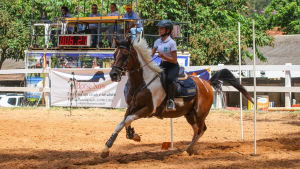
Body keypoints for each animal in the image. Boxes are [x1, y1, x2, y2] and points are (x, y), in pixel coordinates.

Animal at [101, 37, 253, 158]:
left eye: (126, 54)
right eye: (114, 54)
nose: (113, 74)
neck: (142, 82)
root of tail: (207, 83)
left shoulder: (148, 109)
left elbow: (127, 120)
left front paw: (132, 136)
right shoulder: (132, 107)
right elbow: (123, 122)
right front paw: (111, 146)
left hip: (200, 113)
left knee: (202, 129)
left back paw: (187, 151)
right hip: (189, 114)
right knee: (196, 129)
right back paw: (189, 150)